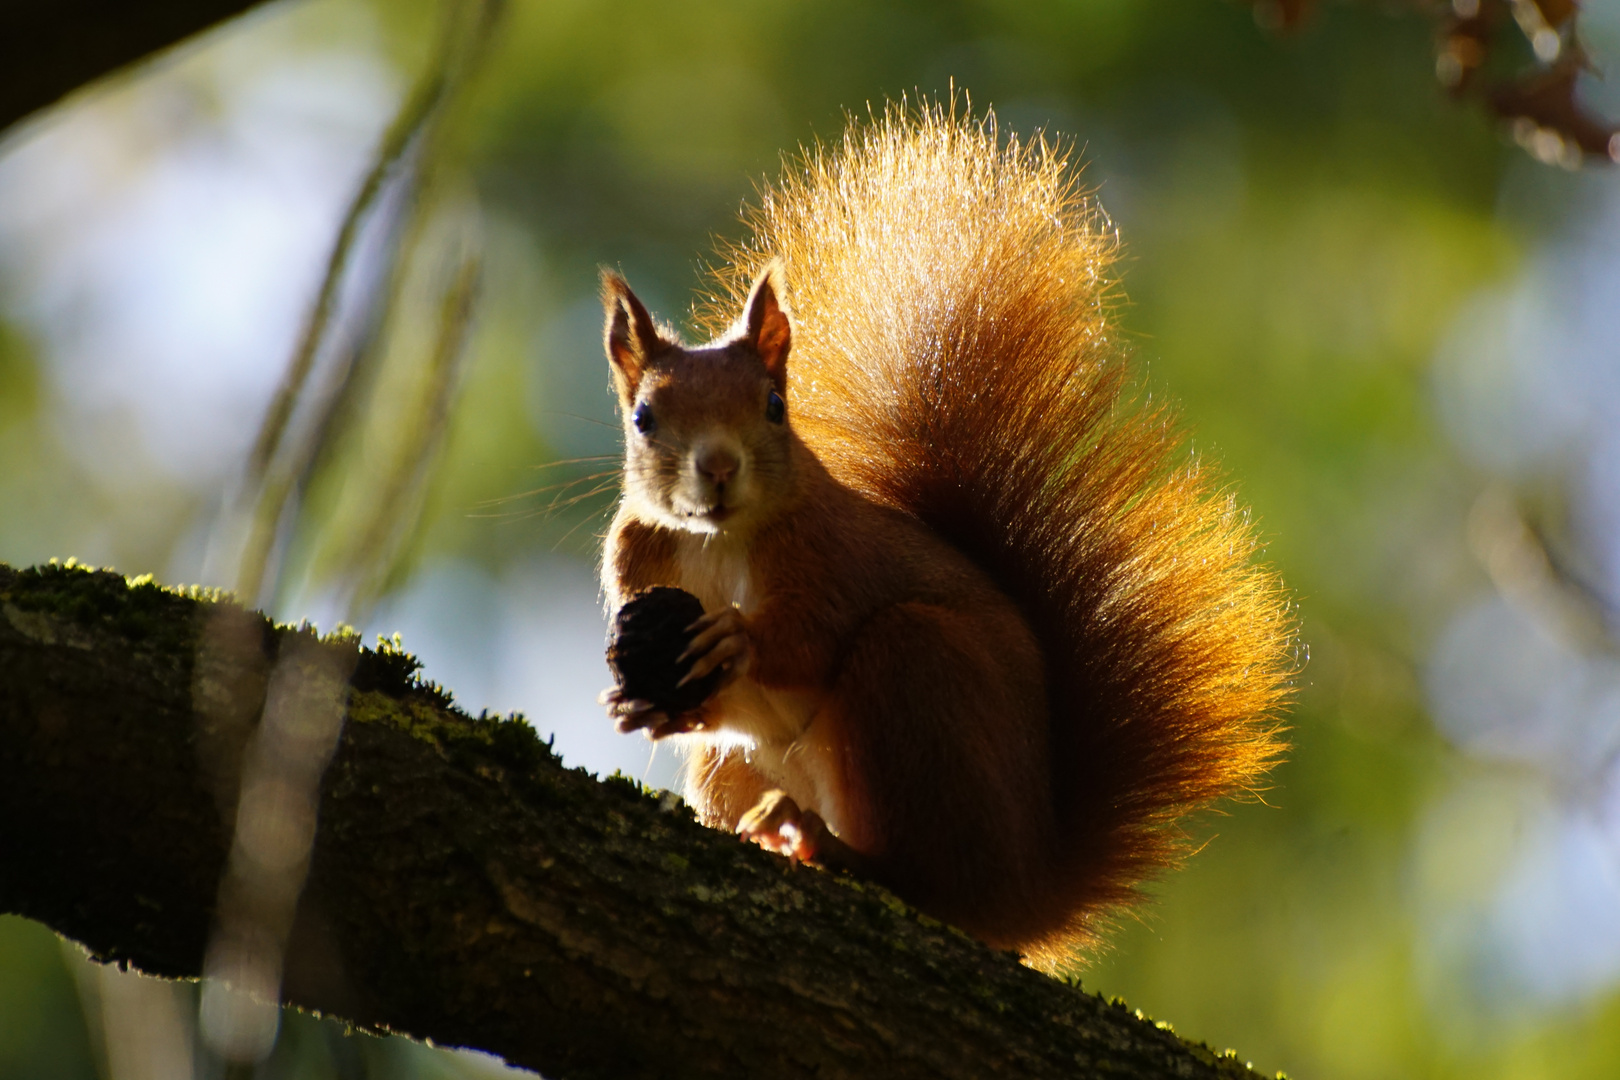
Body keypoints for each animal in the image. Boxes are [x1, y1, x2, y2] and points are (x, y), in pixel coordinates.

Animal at [596, 101, 1289, 965]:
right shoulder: (637, 563)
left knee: (933, 880)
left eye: (774, 406)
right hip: (736, 770)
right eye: (643, 418)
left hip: (917, 672)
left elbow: (809, 636)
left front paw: (737, 640)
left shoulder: (833, 552)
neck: (718, 540)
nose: (717, 468)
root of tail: (1030, 895)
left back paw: (834, 847)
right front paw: (639, 699)